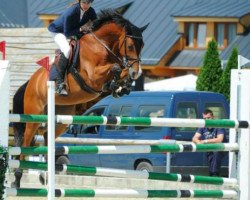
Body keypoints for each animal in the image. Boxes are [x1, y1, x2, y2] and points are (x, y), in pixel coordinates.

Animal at [11, 9, 147, 188]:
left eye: (142, 46)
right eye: (130, 46)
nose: (136, 72)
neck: (102, 45)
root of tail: (30, 83)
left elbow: (120, 70)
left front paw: (121, 87)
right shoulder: (92, 77)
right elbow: (116, 68)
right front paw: (116, 83)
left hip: (62, 118)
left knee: (46, 138)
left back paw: (44, 176)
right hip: (34, 117)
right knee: (25, 144)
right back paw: (16, 180)